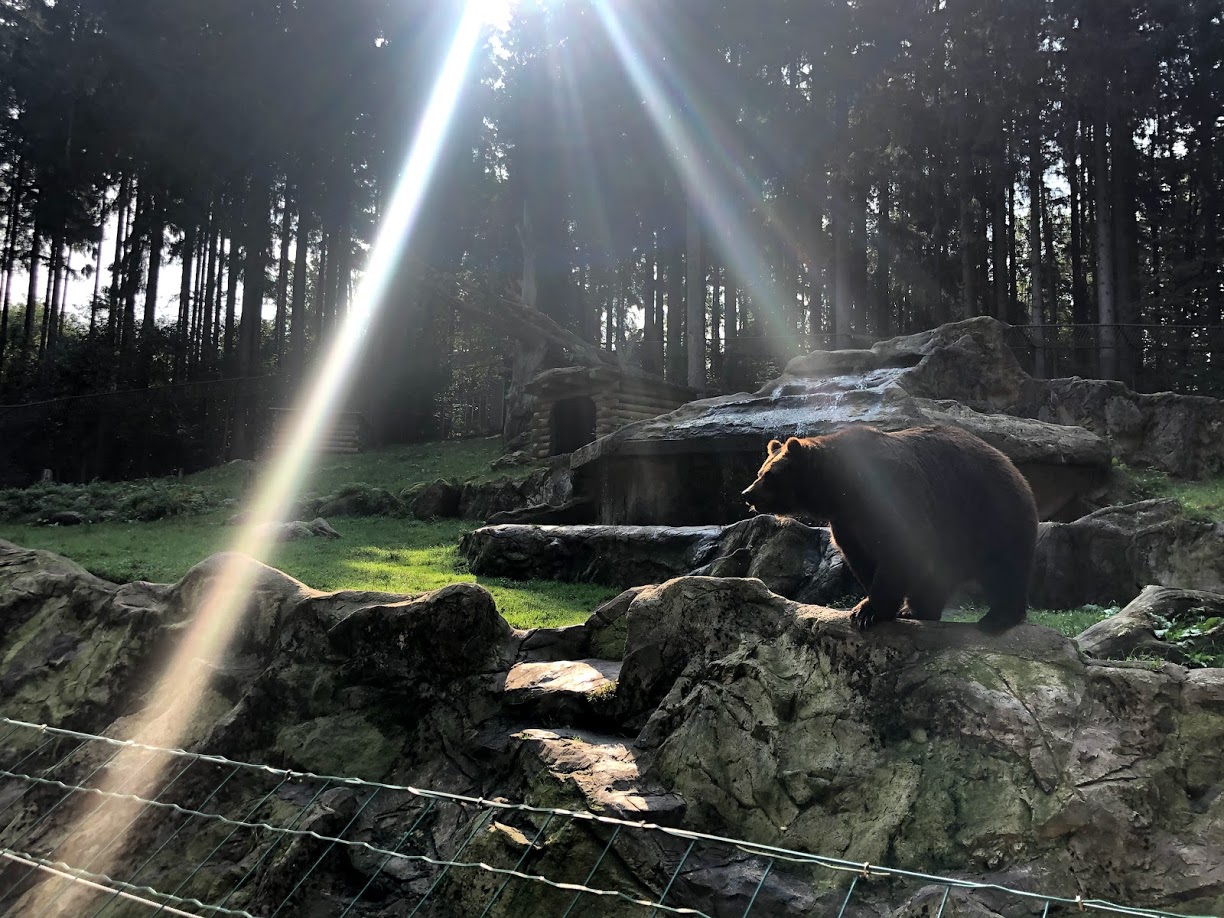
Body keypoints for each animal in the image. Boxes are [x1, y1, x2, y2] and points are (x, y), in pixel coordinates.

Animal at [741, 424, 1039, 632]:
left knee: (1003, 566)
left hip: (990, 512)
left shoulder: (892, 493)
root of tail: (1015, 468)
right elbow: (861, 557)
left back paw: (997, 617)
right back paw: (917, 609)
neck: (839, 489)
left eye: (770, 475)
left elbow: (899, 550)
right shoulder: (847, 520)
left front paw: (867, 611)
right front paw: (872, 607)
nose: (747, 494)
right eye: (760, 471)